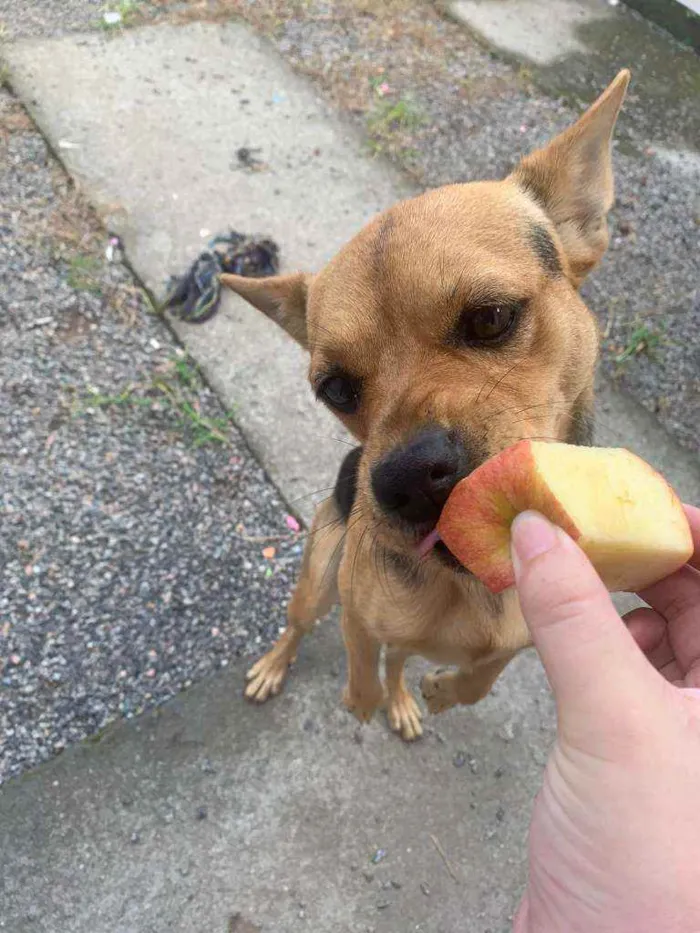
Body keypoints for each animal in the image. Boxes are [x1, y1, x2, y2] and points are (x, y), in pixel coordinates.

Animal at [223, 71, 628, 744]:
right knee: (301, 624)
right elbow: (360, 654)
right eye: (335, 388)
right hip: (318, 577)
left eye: (491, 318)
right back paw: (276, 668)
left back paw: (407, 698)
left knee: (399, 661)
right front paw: (361, 699)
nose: (408, 482)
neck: (467, 588)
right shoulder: (357, 604)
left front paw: (440, 692)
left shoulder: (515, 641)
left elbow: (477, 679)